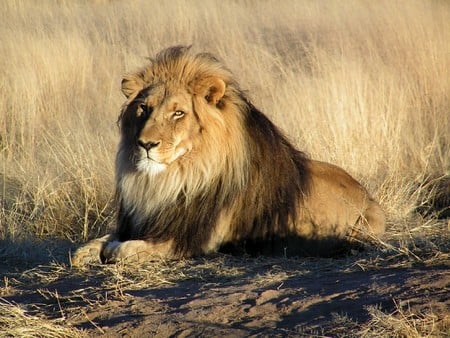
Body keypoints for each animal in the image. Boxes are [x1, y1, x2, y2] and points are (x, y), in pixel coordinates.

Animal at [72, 45, 384, 266]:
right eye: (143, 109)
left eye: (178, 113)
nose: (145, 144)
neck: (172, 179)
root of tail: (367, 195)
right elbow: (88, 246)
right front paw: (88, 251)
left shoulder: (192, 240)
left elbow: (123, 250)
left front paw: (112, 250)